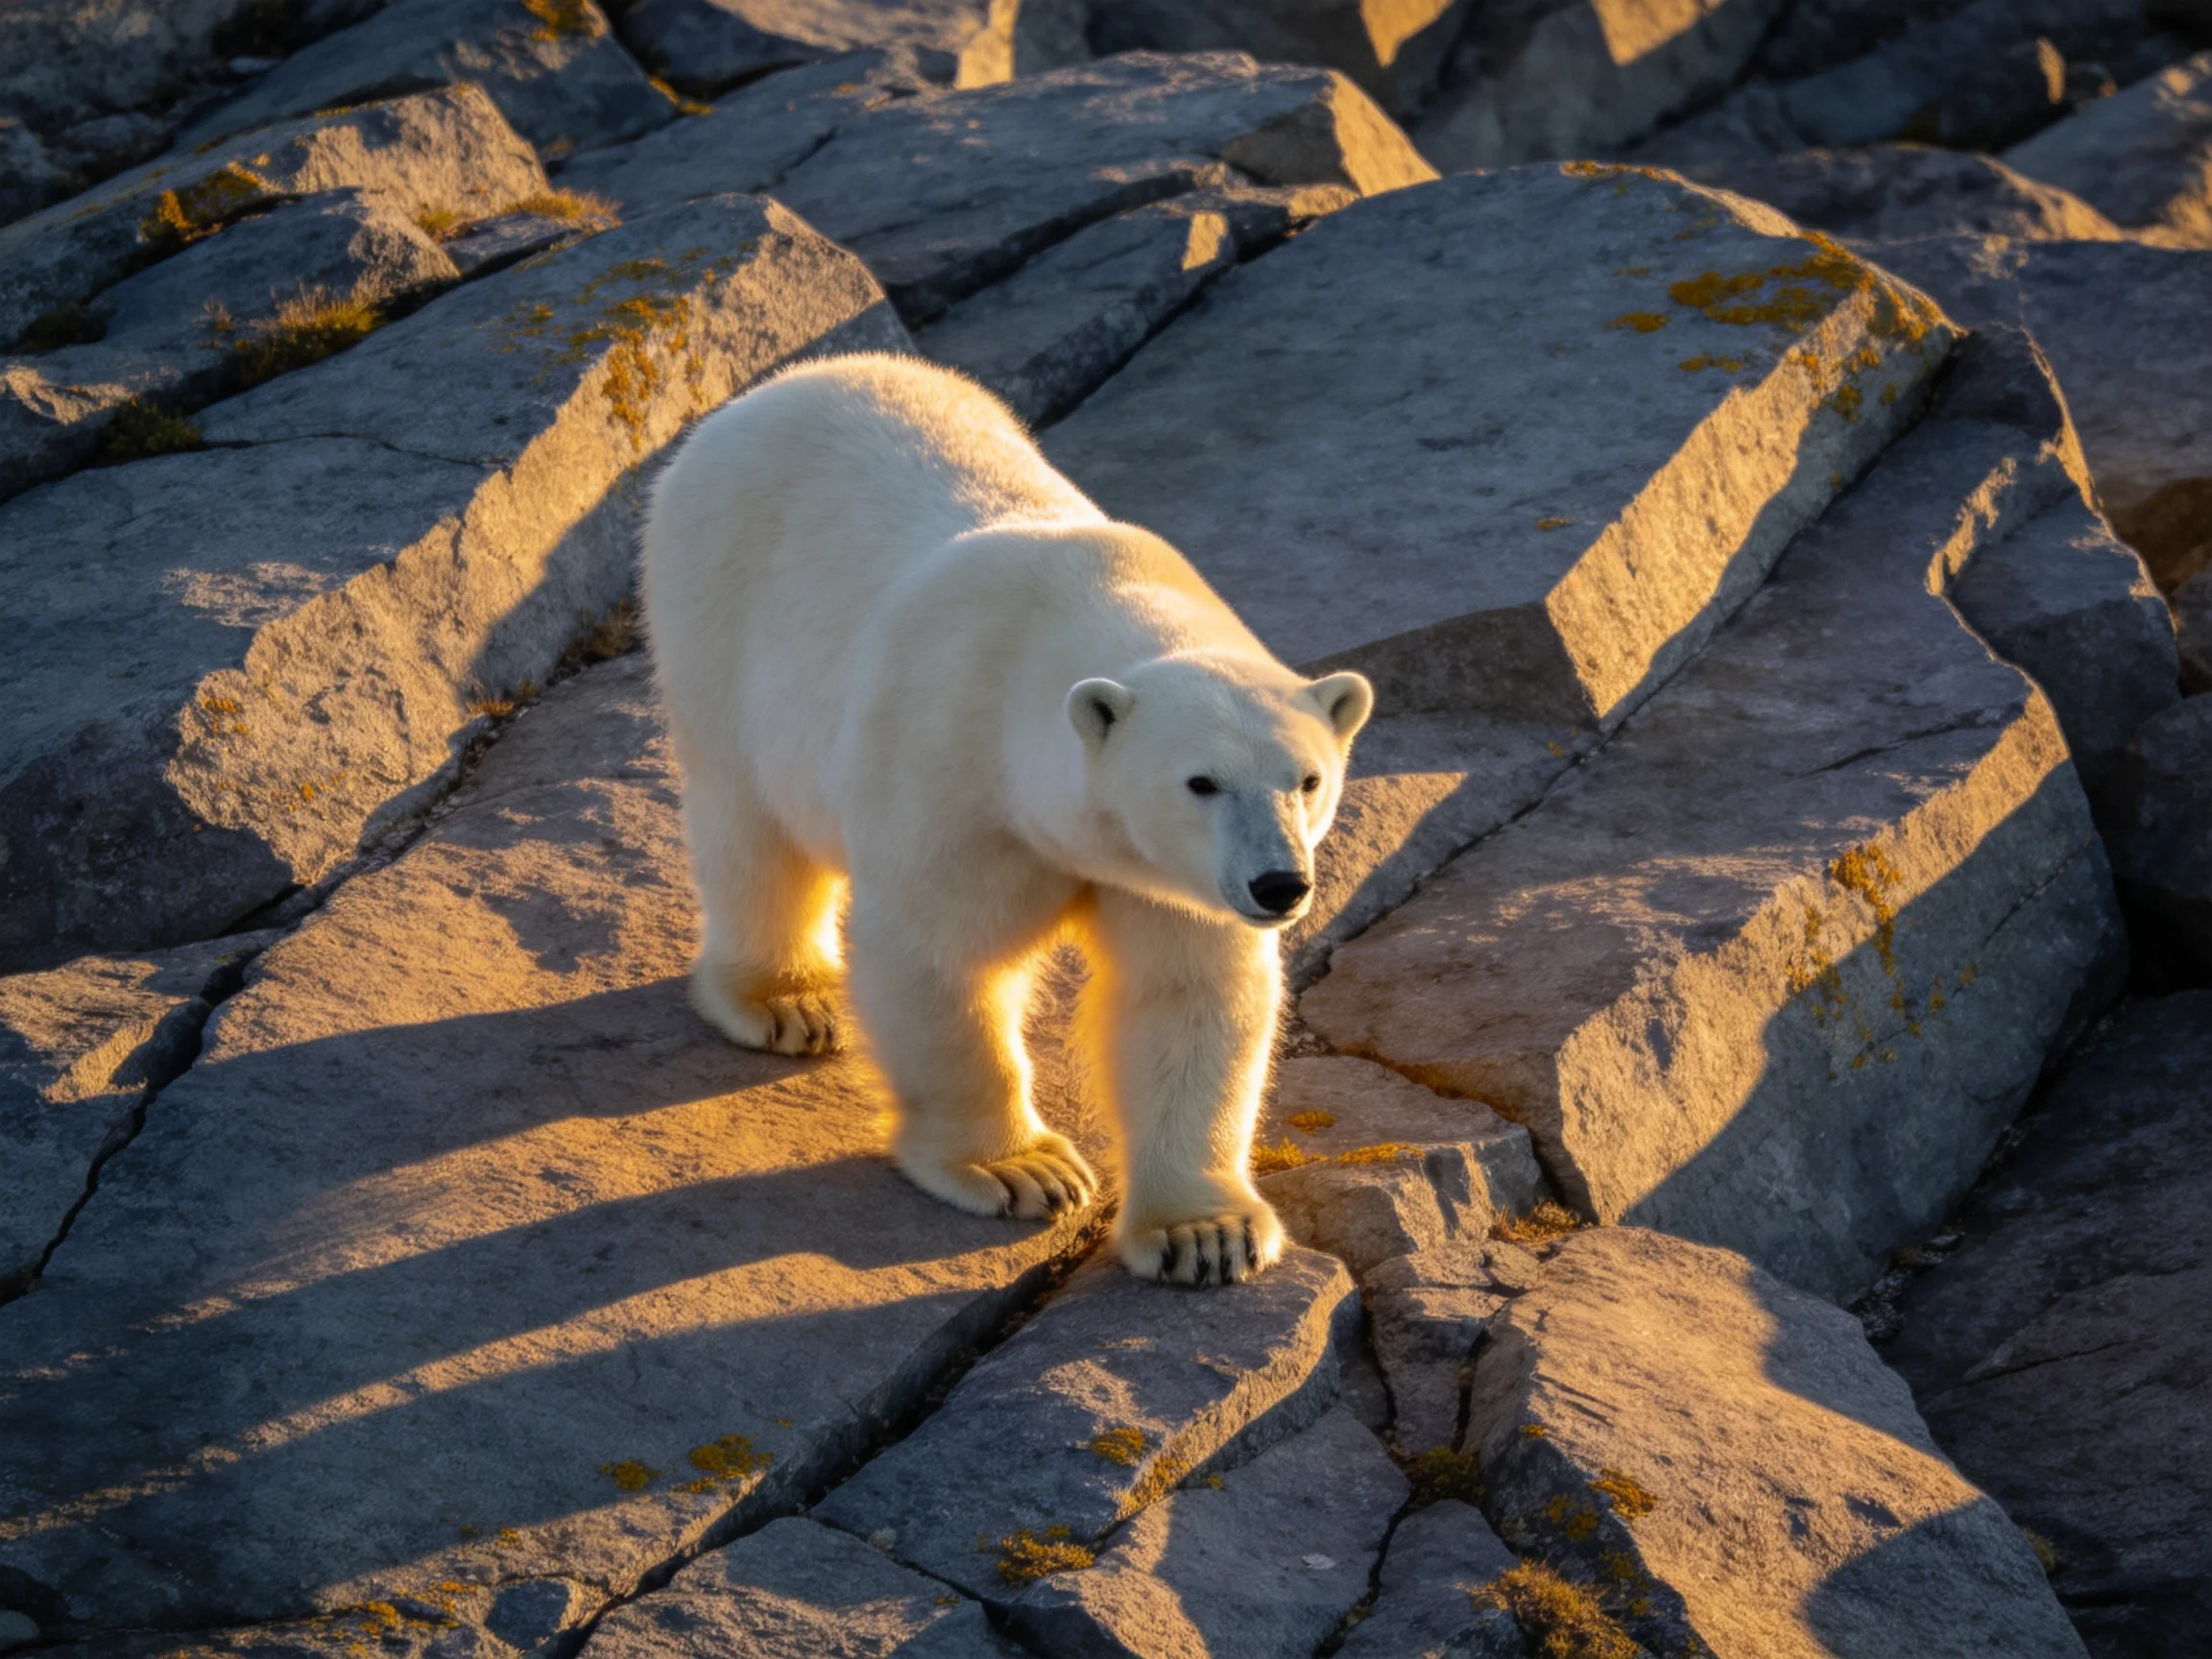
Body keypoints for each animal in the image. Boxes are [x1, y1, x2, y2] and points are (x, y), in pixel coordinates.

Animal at [641, 353, 1372, 1284]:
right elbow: (940, 957)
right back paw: (788, 1001)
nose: (1280, 885)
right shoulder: (952, 775)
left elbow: (1186, 994)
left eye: (1307, 780)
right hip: (717, 620)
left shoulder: (1167, 879)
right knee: (754, 834)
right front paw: (1022, 1169)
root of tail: (780, 387)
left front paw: (1203, 1234)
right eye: (1200, 782)